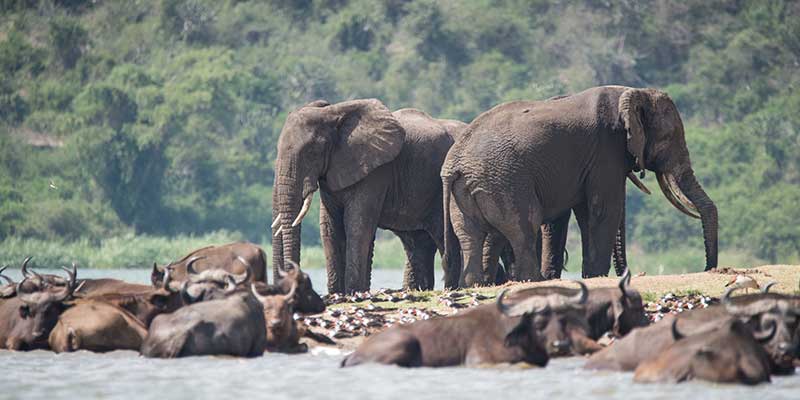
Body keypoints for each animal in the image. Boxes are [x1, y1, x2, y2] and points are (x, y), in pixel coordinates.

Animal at [272, 99, 465, 294]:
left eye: (311, 153)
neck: (333, 112)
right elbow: (329, 227)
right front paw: (337, 293)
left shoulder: (374, 172)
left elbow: (357, 224)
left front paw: (352, 291)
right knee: (418, 244)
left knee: (443, 238)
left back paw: (452, 287)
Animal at [441, 86, 717, 286]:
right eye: (669, 138)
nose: (708, 268)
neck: (632, 93)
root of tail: (455, 163)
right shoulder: (605, 151)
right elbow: (603, 210)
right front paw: (595, 276)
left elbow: (579, 214)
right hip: (505, 182)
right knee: (524, 227)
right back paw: (533, 281)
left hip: (470, 189)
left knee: (473, 236)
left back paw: (477, 284)